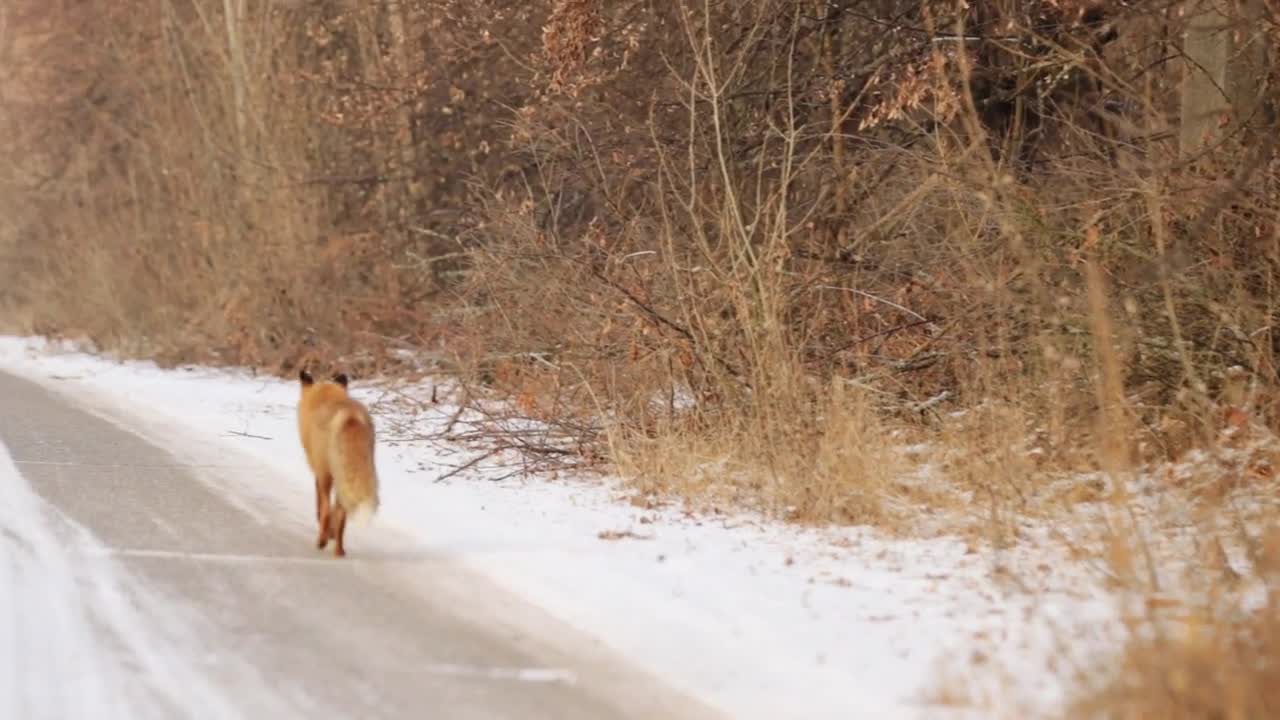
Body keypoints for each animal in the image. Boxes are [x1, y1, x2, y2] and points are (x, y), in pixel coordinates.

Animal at [296, 368, 376, 556]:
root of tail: (350, 415)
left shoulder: (320, 472)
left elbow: (320, 507)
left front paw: (325, 531)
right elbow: (337, 514)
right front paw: (331, 533)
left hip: (329, 475)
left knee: (326, 510)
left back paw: (322, 541)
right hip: (345, 478)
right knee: (341, 516)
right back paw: (339, 549)